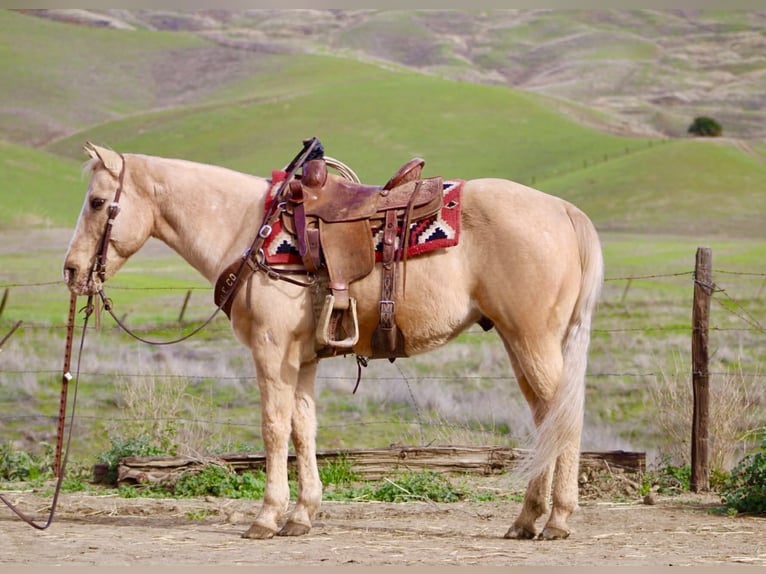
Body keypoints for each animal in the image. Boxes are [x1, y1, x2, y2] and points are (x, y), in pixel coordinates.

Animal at [63, 141, 603, 541]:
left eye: (96, 202)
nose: (71, 271)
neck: (248, 230)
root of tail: (565, 212)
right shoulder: (302, 358)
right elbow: (304, 429)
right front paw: (302, 515)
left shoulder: (271, 349)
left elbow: (274, 428)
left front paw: (266, 517)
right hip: (521, 341)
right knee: (545, 418)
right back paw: (527, 519)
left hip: (531, 339)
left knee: (564, 417)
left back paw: (557, 520)